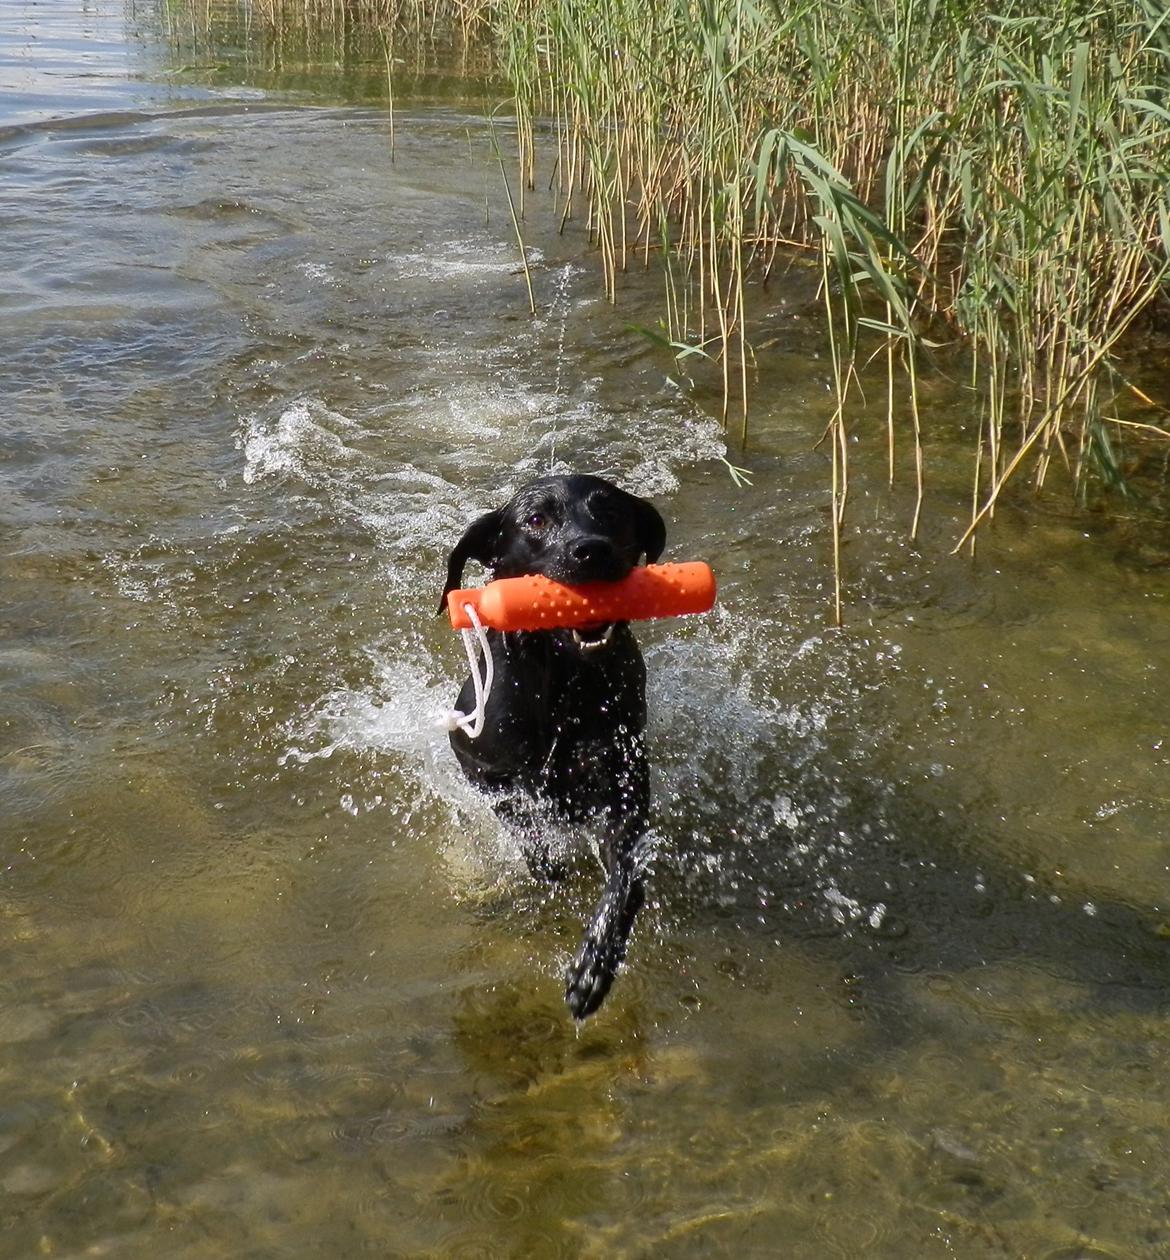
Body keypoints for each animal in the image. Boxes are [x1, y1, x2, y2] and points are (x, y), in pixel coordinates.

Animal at [440, 476, 664, 1018]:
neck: (566, 681)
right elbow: (524, 824)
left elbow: (626, 880)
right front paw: (547, 862)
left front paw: (594, 966)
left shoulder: (625, 783)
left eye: (610, 512)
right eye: (536, 519)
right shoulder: (477, 762)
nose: (591, 550)